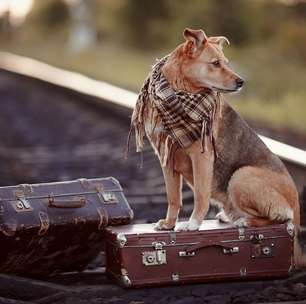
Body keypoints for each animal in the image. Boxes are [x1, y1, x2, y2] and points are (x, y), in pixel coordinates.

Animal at [131, 27, 304, 266]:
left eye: (226, 62)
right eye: (215, 63)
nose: (241, 82)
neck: (178, 94)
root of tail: (297, 210)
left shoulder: (201, 156)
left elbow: (200, 195)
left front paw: (193, 224)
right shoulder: (165, 156)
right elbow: (173, 197)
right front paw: (168, 224)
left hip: (241, 176)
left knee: (281, 217)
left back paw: (244, 222)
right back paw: (231, 216)